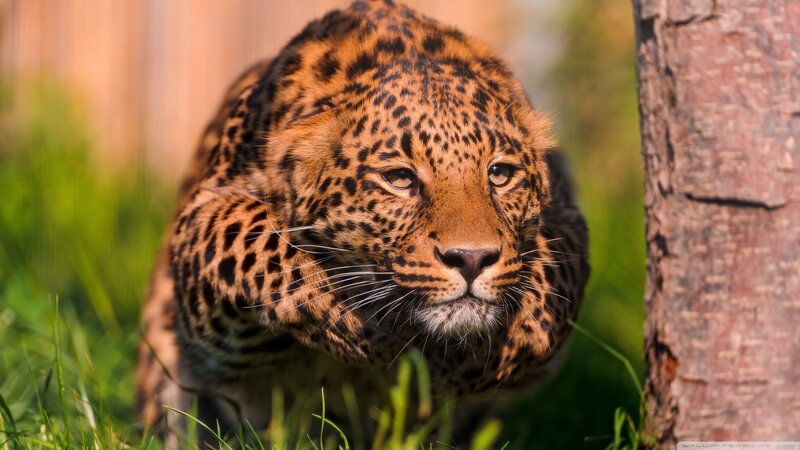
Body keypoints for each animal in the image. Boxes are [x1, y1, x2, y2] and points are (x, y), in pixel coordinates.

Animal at [135, 0, 589, 445]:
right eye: (400, 179)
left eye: (500, 174)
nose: (472, 259)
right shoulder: (201, 219)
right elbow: (256, 236)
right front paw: (368, 330)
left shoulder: (567, 220)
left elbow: (549, 290)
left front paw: (479, 353)